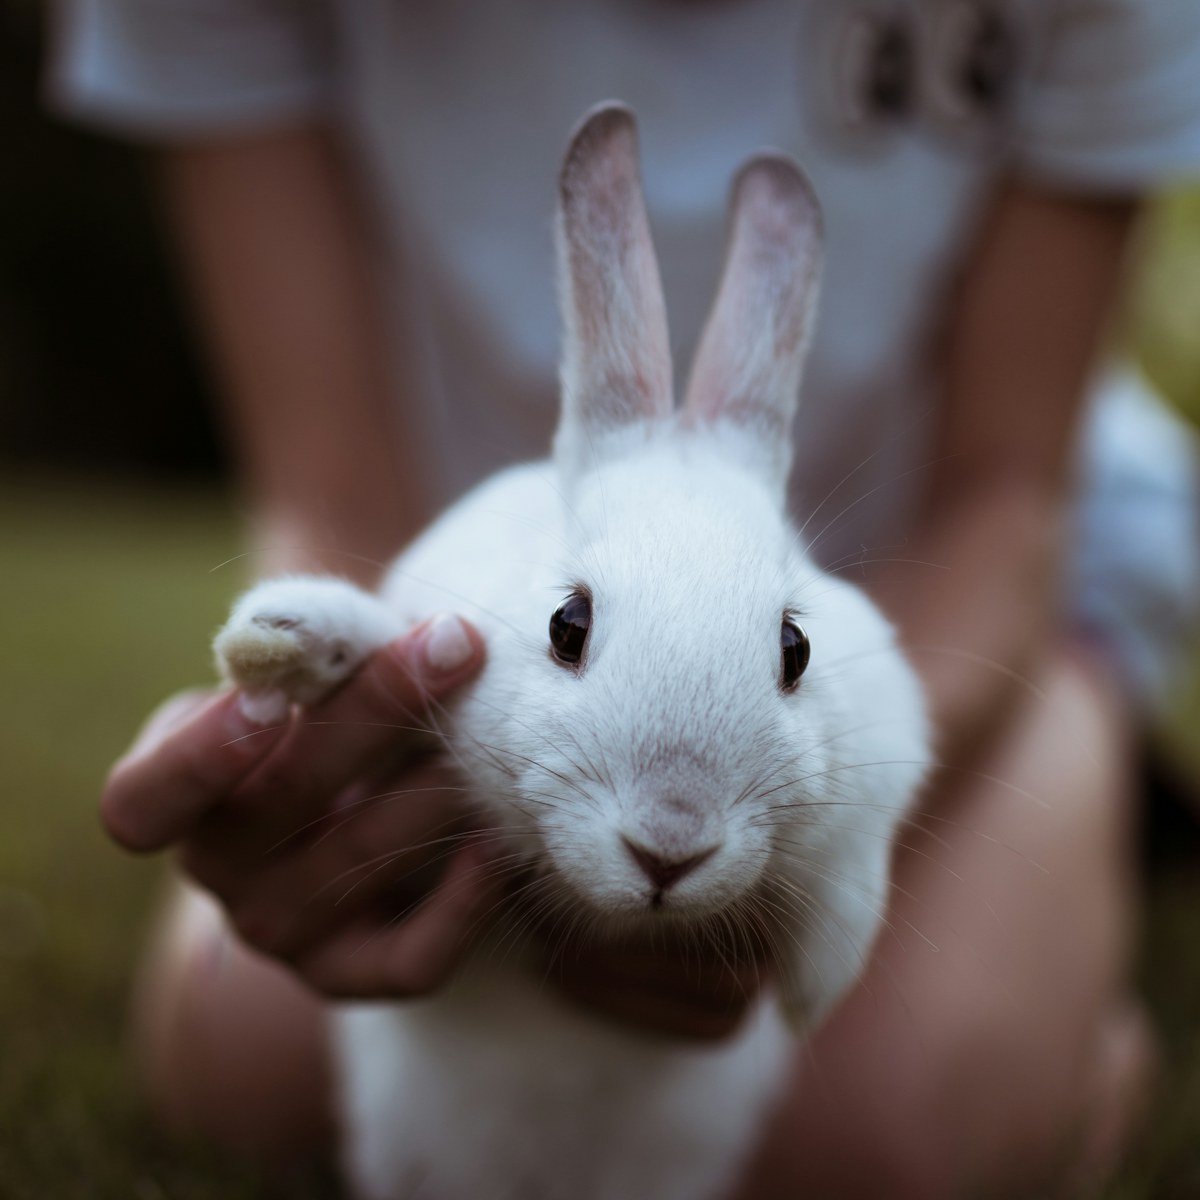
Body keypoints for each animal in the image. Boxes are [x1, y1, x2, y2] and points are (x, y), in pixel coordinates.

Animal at [213, 103, 930, 1200]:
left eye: (796, 646)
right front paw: (284, 643)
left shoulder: (881, 760)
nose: (669, 844)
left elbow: (852, 879)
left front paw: (816, 987)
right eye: (567, 626)